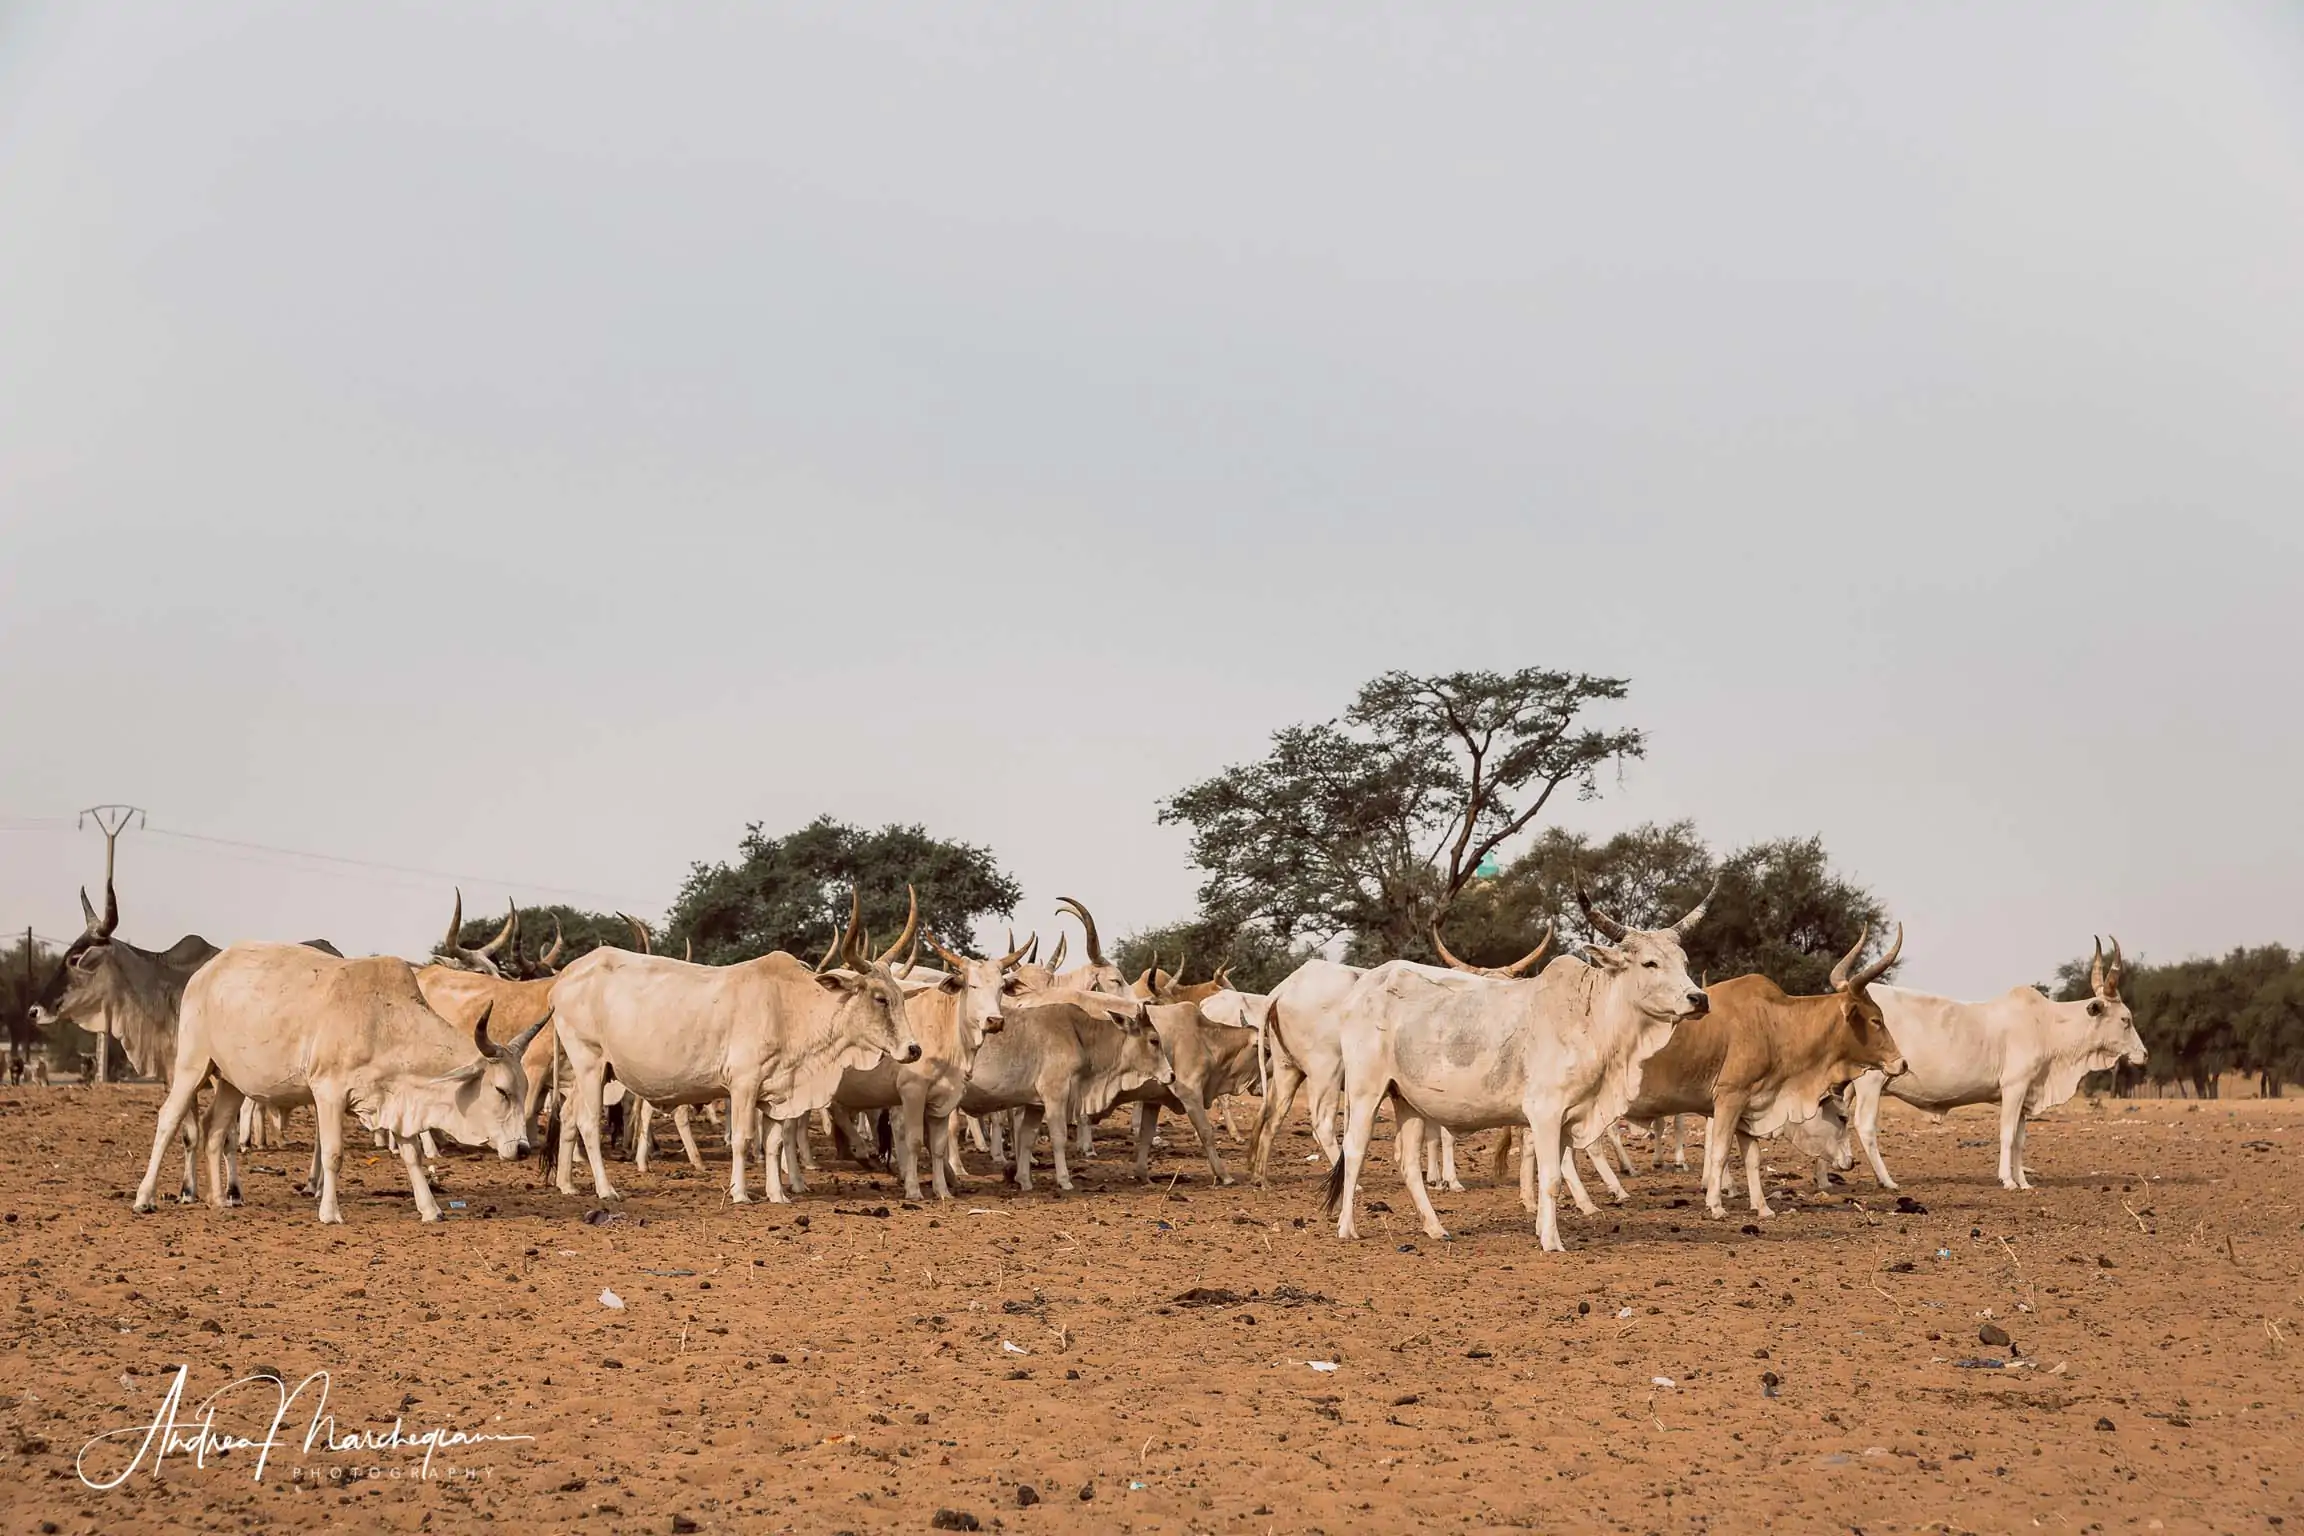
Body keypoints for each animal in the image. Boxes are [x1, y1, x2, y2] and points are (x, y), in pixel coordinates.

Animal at [133, 944, 543, 1234]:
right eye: (502, 1090)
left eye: (523, 1089)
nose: (523, 1149)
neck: (381, 1019)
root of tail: (206, 972)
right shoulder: (328, 1092)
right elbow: (332, 1153)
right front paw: (329, 1212)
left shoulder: (395, 1097)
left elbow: (411, 1155)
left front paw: (431, 1209)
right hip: (193, 1064)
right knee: (169, 1119)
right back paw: (145, 1198)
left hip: (232, 1081)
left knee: (216, 1128)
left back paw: (220, 1199)